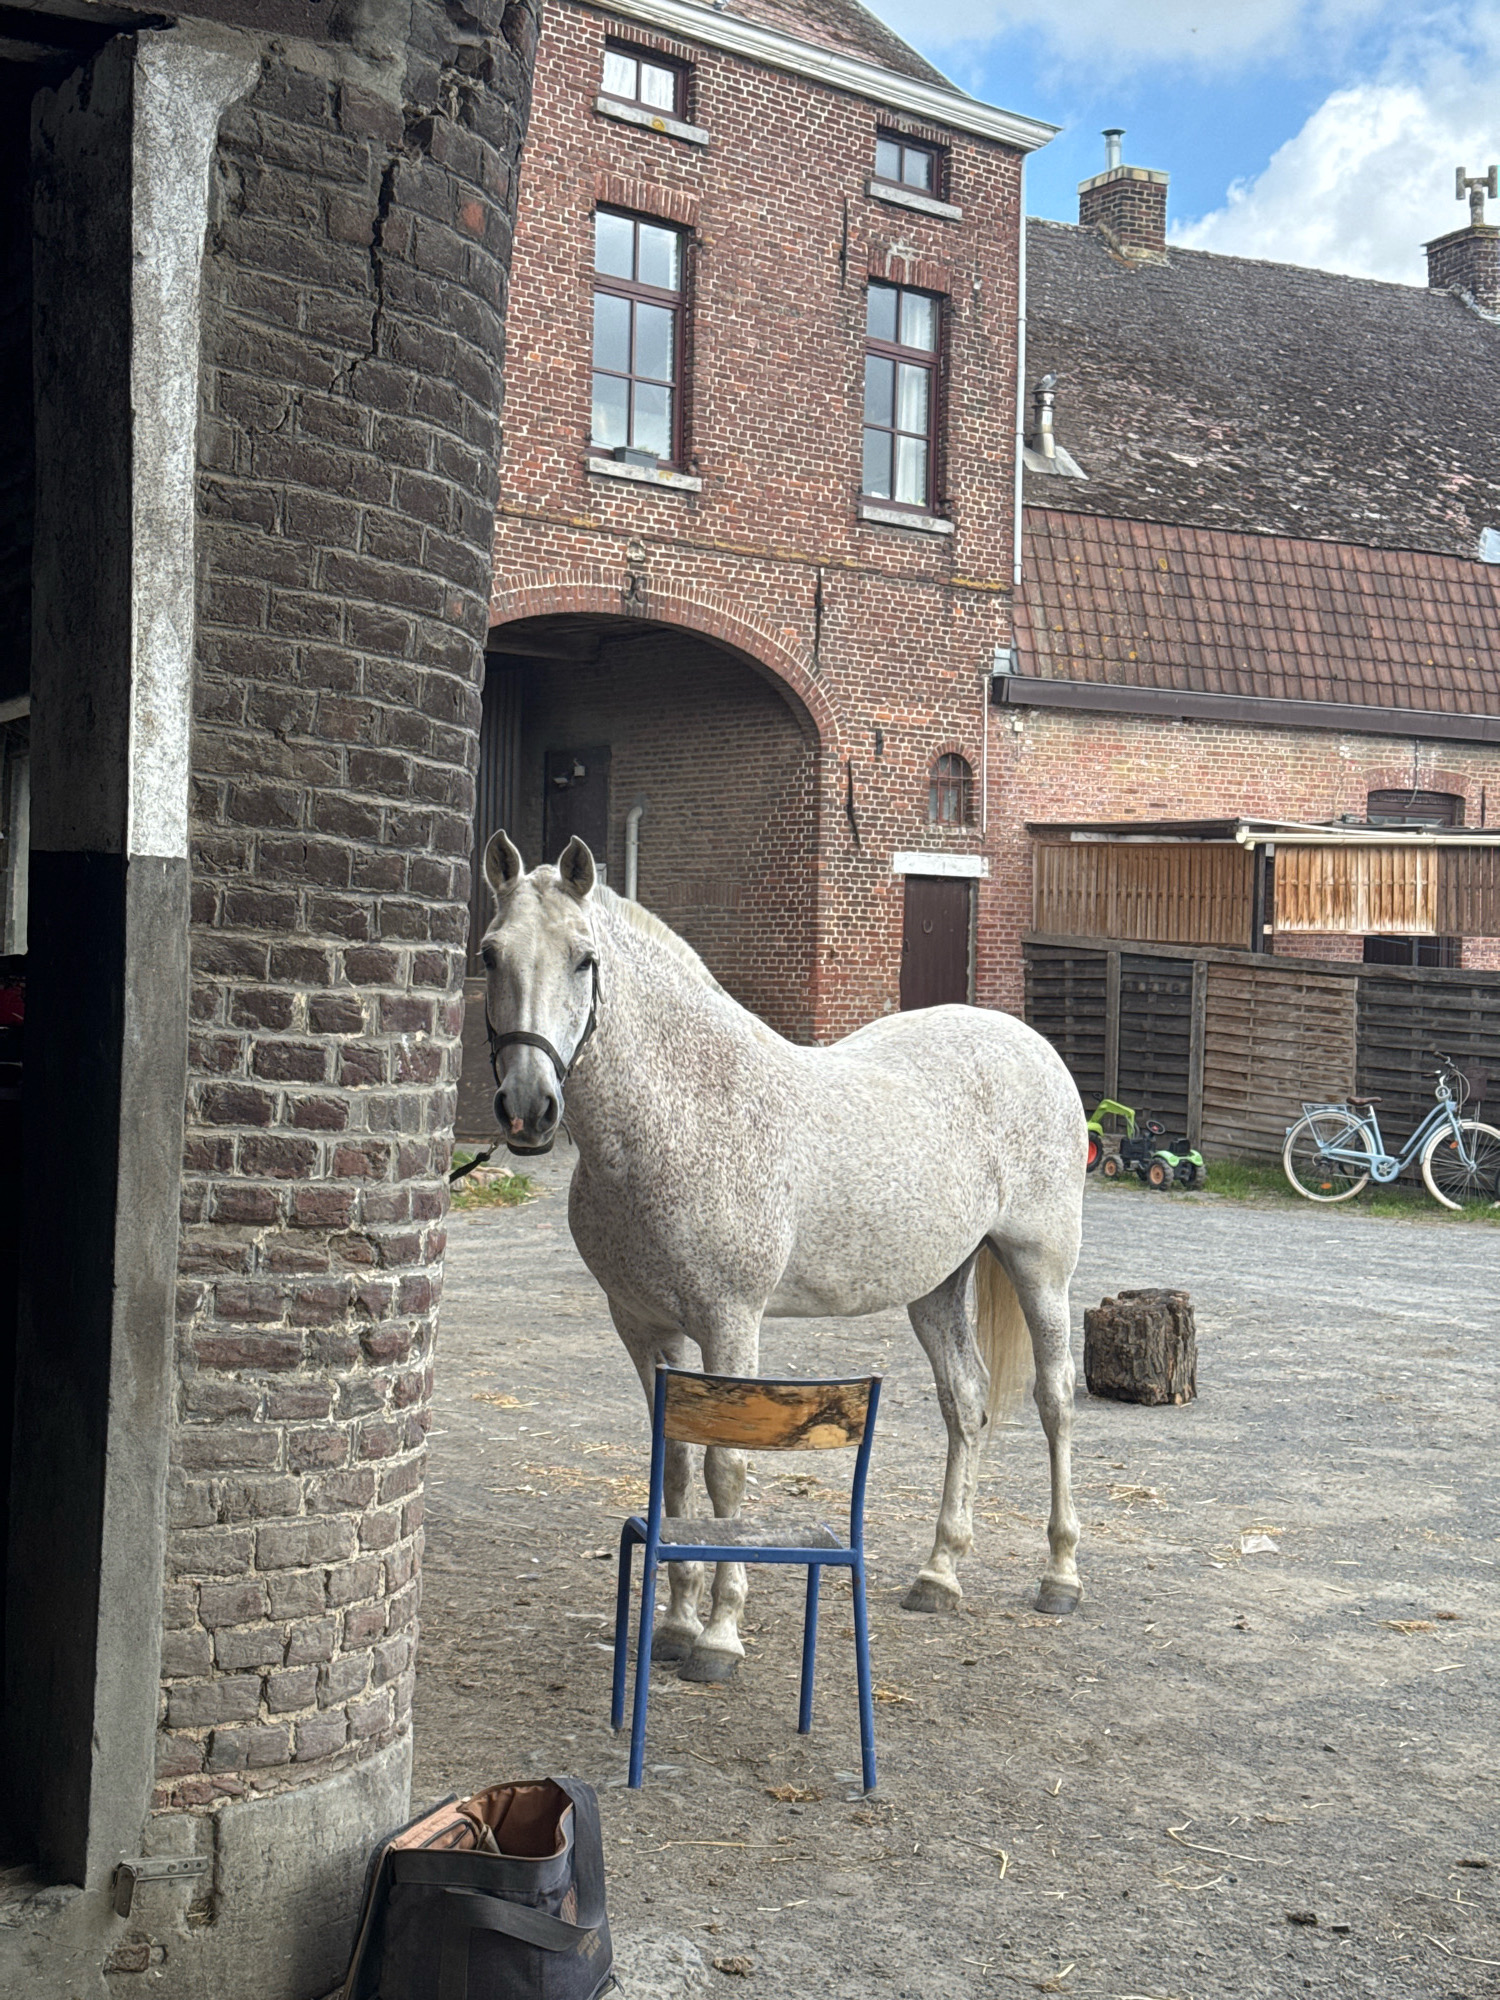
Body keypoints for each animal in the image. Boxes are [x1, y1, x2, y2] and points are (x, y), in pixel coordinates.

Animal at [477, 831, 1088, 1684]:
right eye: (491, 954)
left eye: (583, 960)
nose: (529, 1109)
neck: (686, 1112)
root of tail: (1029, 1044)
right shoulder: (642, 1327)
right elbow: (674, 1465)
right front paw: (673, 1625)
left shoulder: (729, 1323)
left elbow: (725, 1468)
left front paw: (718, 1637)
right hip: (937, 1285)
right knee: (965, 1401)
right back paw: (939, 1574)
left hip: (1040, 1266)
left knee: (1055, 1398)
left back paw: (1060, 1575)